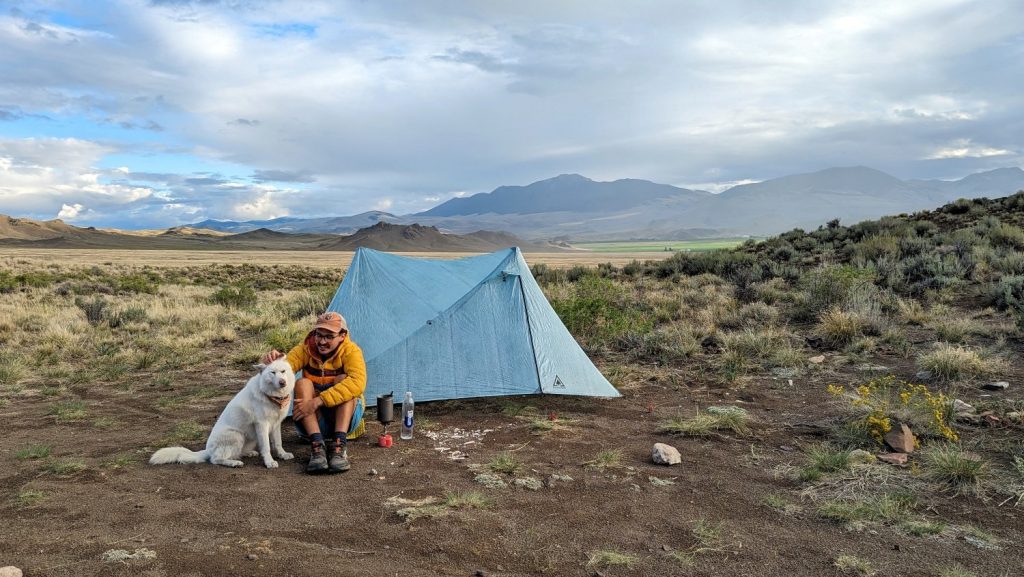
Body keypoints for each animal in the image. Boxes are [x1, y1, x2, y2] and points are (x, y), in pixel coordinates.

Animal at [149, 360, 299, 469]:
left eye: (283, 371)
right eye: (272, 373)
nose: (282, 382)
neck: (273, 396)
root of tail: (207, 449)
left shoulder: (275, 425)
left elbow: (278, 443)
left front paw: (283, 455)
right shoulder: (262, 425)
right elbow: (267, 447)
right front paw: (269, 462)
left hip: (251, 438)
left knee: (236, 453)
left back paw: (248, 453)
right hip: (237, 436)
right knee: (215, 459)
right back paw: (233, 463)